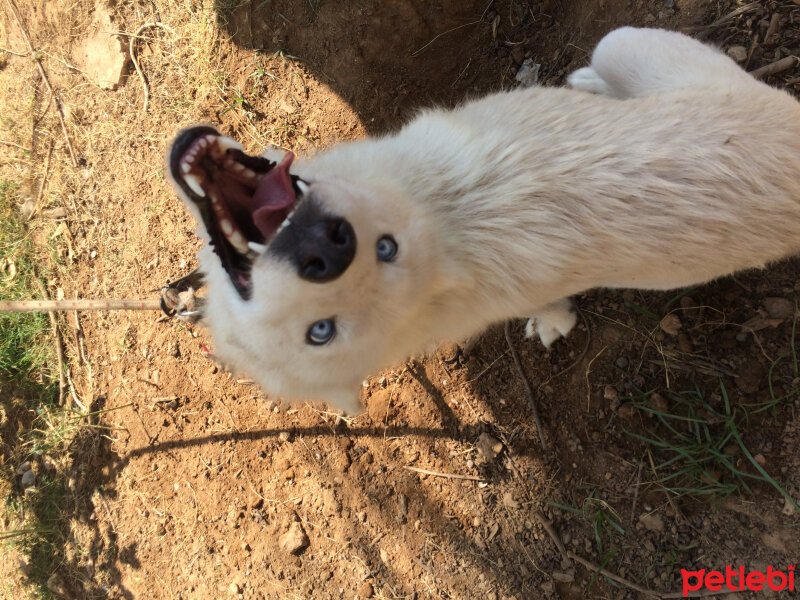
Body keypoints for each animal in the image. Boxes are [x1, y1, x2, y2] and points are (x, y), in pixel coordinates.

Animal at [167, 27, 800, 412]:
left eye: (385, 248)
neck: (440, 214)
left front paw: (551, 326)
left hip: (622, 41)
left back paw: (592, 83)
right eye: (319, 331)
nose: (326, 249)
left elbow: (553, 317)